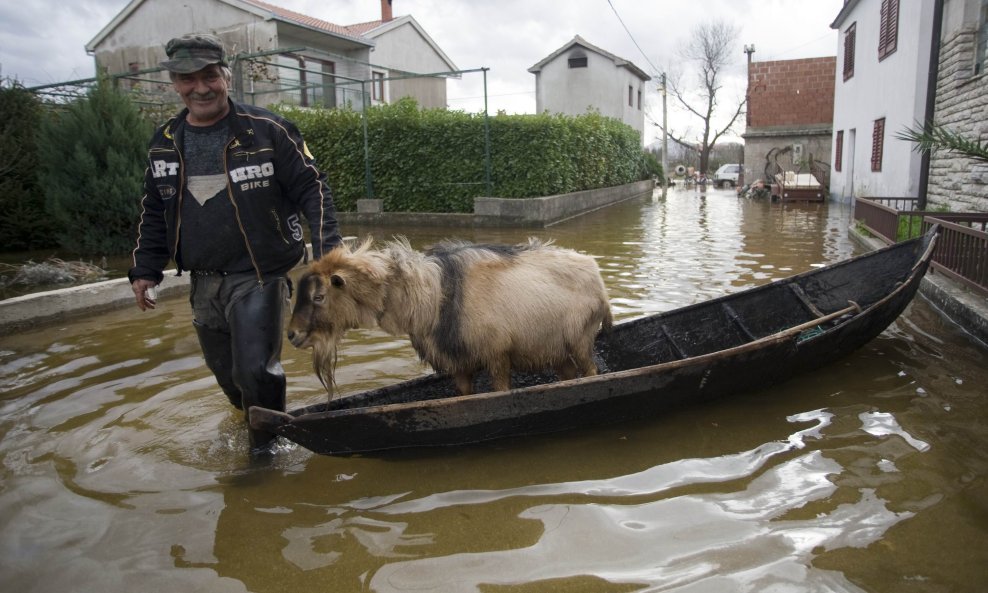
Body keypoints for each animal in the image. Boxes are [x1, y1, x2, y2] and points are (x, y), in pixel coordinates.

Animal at [284, 237, 608, 398]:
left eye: (318, 297)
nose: (291, 334)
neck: (432, 294)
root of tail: (594, 270)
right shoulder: (458, 364)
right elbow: (463, 395)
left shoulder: (497, 356)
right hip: (555, 347)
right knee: (568, 374)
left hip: (580, 339)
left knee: (592, 373)